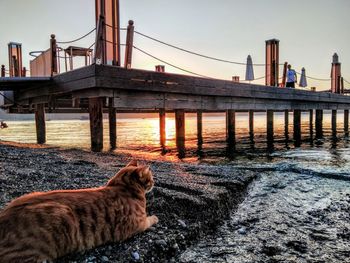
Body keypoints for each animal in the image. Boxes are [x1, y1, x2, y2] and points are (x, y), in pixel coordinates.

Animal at [0, 160, 157, 262]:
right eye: (151, 178)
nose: (154, 183)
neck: (122, 187)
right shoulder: (137, 224)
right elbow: (150, 219)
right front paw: (155, 217)